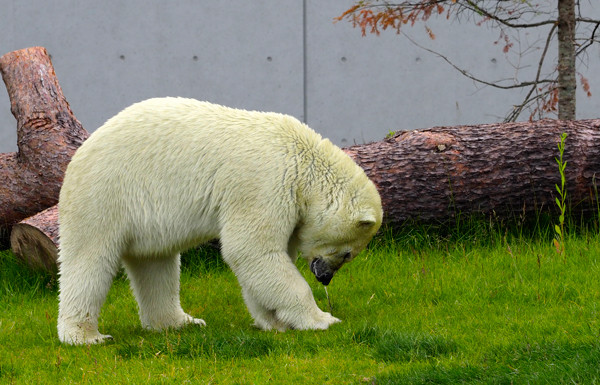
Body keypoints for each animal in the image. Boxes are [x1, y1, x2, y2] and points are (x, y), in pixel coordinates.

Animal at [57, 97, 384, 344]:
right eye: (348, 253)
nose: (324, 277)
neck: (302, 158)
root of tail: (79, 155)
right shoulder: (265, 181)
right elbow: (251, 249)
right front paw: (323, 319)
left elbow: (268, 259)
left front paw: (274, 321)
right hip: (106, 194)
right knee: (89, 259)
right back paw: (85, 336)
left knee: (155, 264)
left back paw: (179, 322)